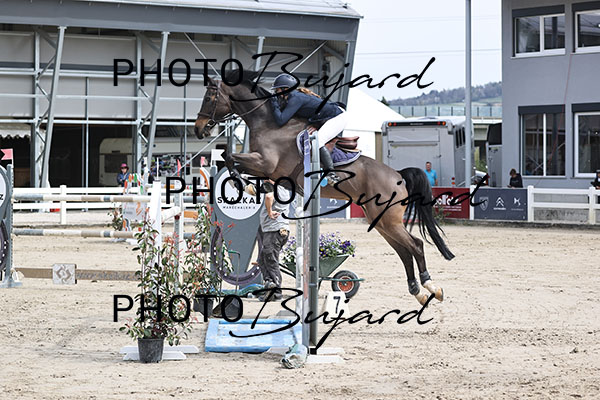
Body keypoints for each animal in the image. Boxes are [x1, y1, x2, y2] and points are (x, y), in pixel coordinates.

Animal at [194, 73, 454, 305]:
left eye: (208, 97)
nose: (199, 129)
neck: (269, 124)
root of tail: (398, 175)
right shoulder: (266, 169)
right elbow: (232, 161)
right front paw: (248, 186)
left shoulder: (265, 163)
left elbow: (229, 157)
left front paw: (242, 185)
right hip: (381, 221)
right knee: (404, 251)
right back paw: (418, 292)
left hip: (388, 220)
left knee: (415, 246)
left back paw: (432, 287)